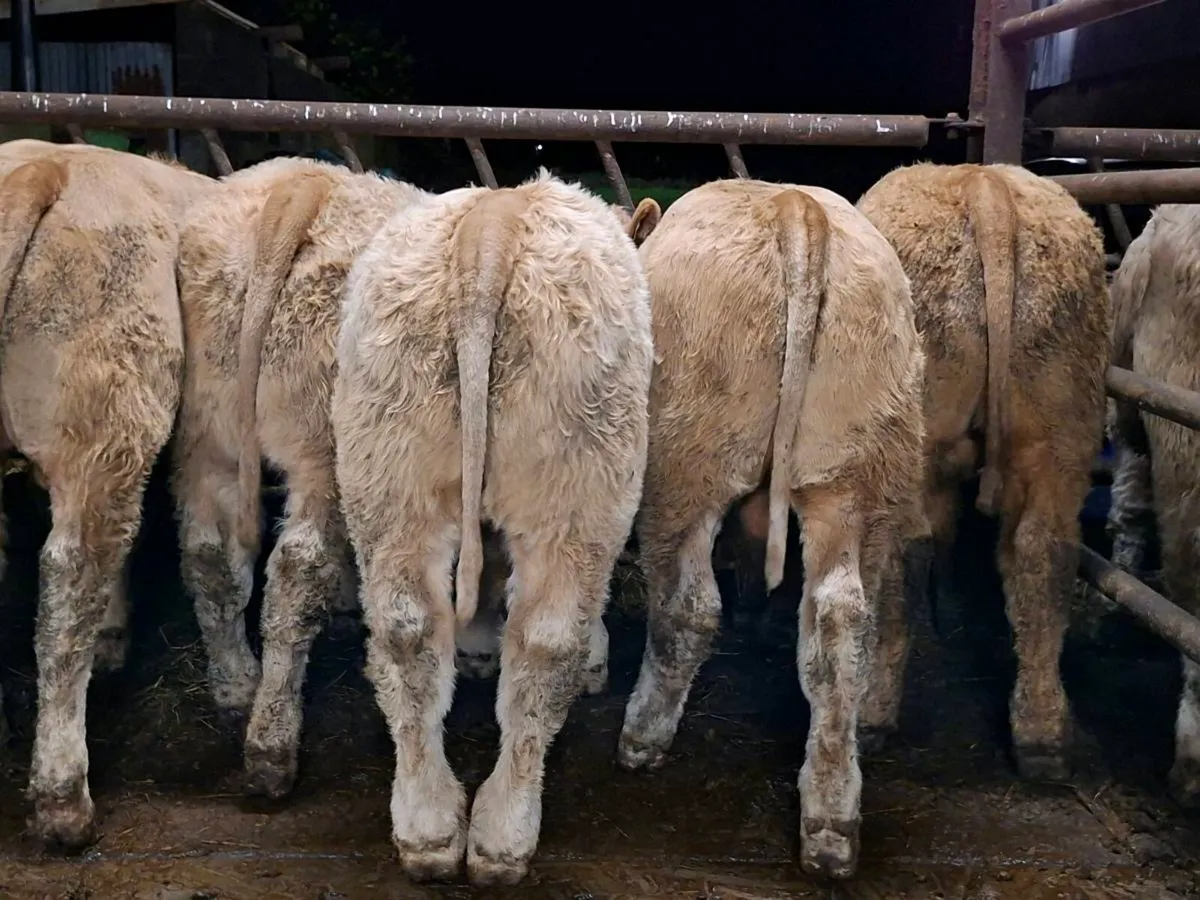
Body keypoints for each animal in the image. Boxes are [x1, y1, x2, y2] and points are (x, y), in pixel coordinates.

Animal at [331, 169, 655, 885]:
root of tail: (492, 224)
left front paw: (477, 643)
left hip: (388, 465)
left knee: (406, 630)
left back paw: (427, 828)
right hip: (580, 479)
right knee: (545, 642)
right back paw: (504, 836)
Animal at [616, 178, 928, 880]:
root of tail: (794, 210)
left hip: (686, 461)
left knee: (687, 607)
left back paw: (642, 736)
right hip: (852, 471)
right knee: (840, 622)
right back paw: (831, 818)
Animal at [857, 163, 1110, 782]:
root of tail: (984, 185)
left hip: (912, 436)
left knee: (902, 552)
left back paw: (872, 708)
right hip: (1062, 428)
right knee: (1044, 553)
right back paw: (1042, 736)